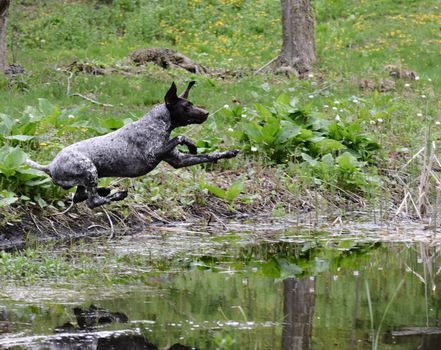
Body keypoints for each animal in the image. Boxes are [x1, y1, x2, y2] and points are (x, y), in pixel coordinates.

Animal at [25, 81, 239, 208]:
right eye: (187, 106)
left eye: (192, 103)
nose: (206, 113)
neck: (157, 123)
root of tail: (49, 166)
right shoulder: (153, 153)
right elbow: (181, 136)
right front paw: (190, 142)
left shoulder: (179, 161)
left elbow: (209, 154)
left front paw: (228, 152)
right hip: (89, 169)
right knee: (93, 201)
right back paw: (116, 195)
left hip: (87, 177)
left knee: (80, 197)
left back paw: (106, 191)